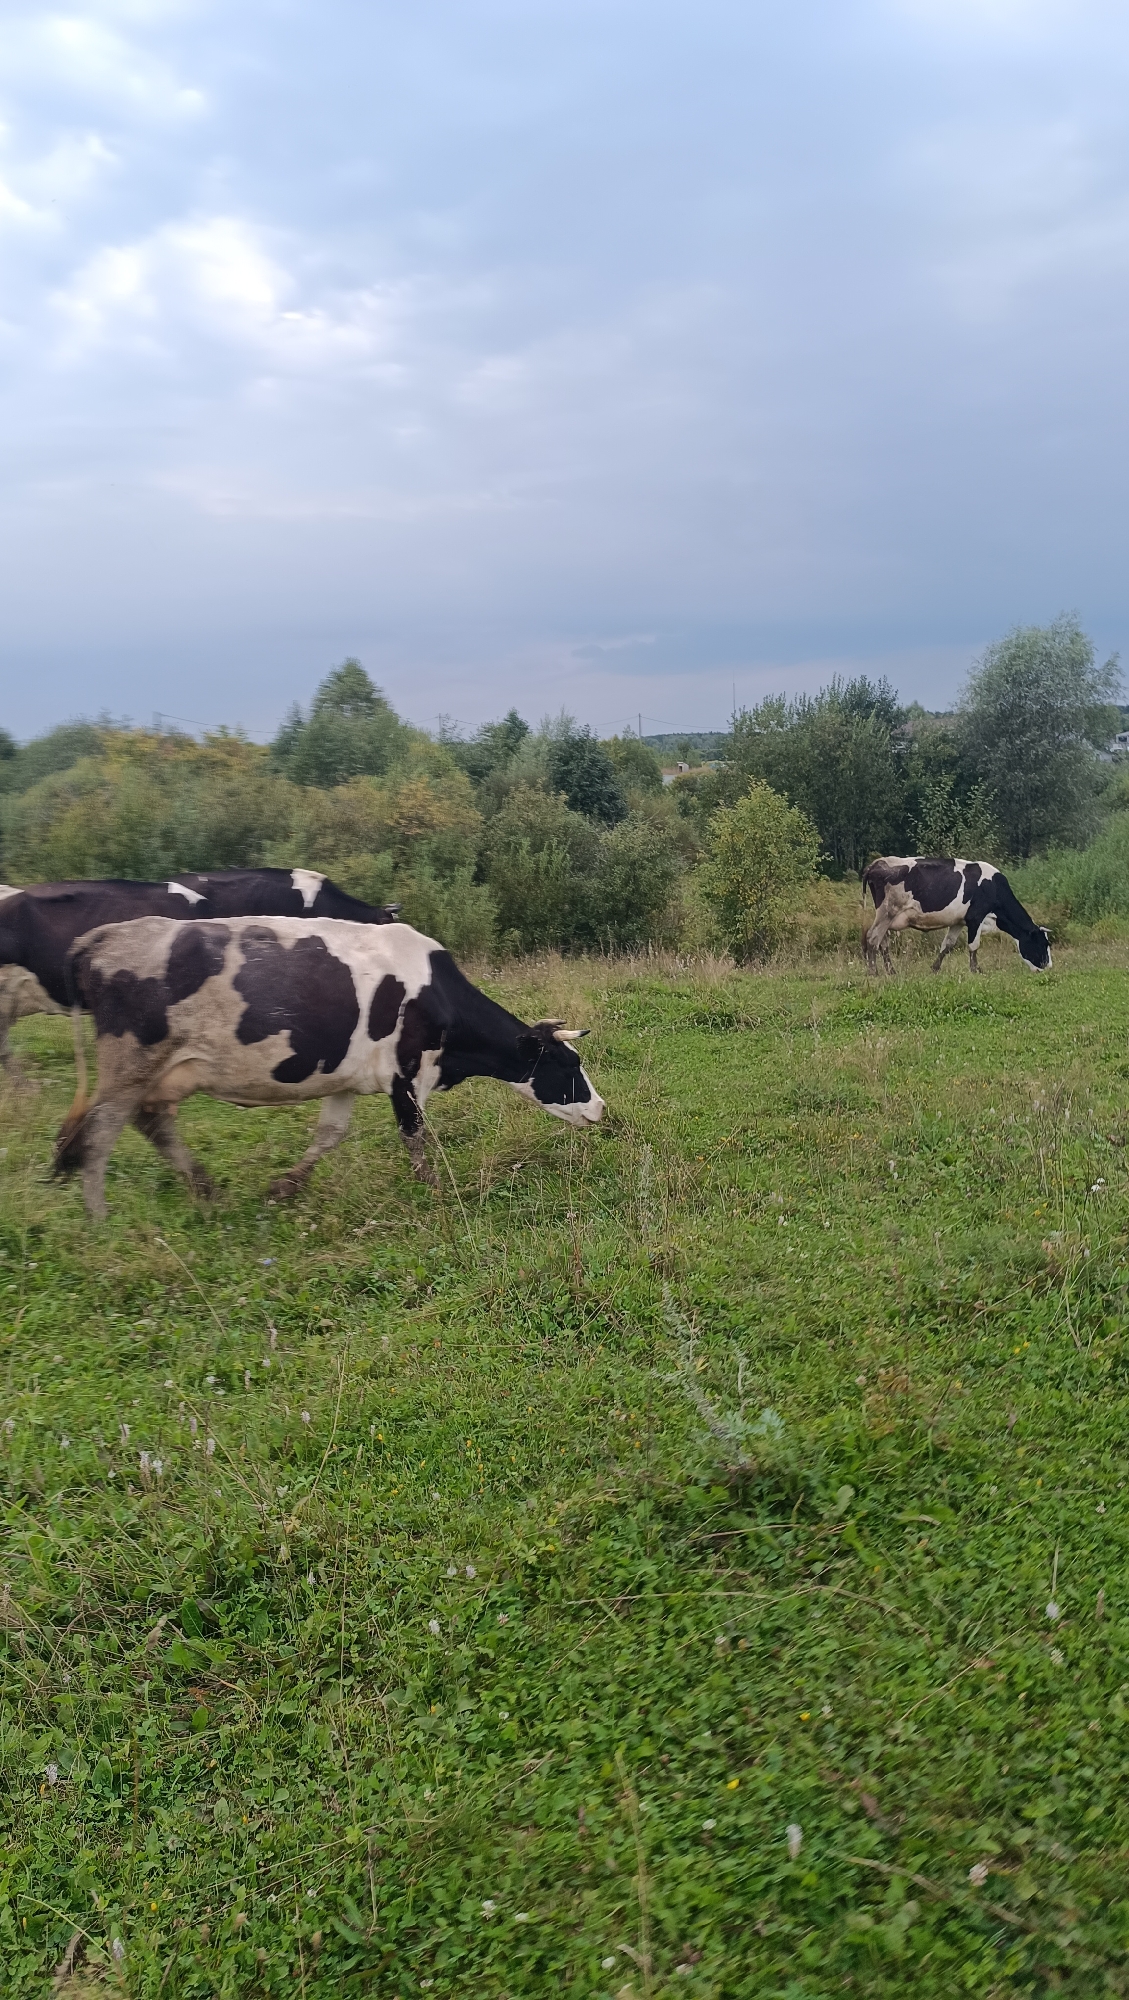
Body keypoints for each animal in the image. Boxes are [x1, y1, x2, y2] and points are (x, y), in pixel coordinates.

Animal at [52, 916, 605, 1217]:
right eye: (565, 1065)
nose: (600, 1108)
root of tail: (101, 938)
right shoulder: (407, 1074)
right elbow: (415, 1138)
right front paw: (438, 1193)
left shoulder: (350, 1078)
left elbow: (329, 1135)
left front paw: (285, 1187)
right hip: (130, 1065)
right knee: (100, 1134)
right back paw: (99, 1216)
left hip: (163, 1073)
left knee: (151, 1123)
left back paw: (206, 1190)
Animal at [862, 856, 1051, 976]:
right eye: (1042, 944)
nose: (1048, 967)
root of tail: (877, 863)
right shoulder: (975, 918)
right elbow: (973, 945)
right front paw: (975, 970)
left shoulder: (959, 921)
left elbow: (948, 945)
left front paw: (935, 968)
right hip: (887, 911)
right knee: (873, 937)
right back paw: (873, 971)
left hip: (886, 916)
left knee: (882, 942)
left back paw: (890, 971)